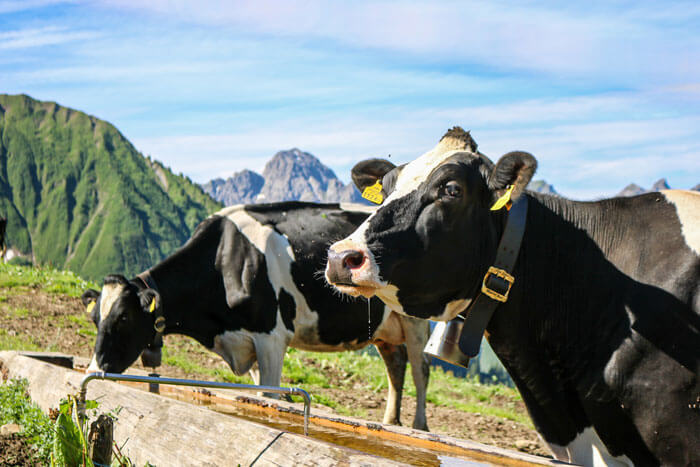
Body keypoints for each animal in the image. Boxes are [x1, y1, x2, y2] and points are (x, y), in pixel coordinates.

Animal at [82, 201, 432, 432]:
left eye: (124, 318)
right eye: (96, 319)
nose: (94, 370)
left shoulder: (271, 338)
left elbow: (270, 395)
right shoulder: (245, 341)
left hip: (416, 318)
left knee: (420, 369)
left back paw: (418, 427)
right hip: (384, 327)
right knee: (396, 366)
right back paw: (391, 421)